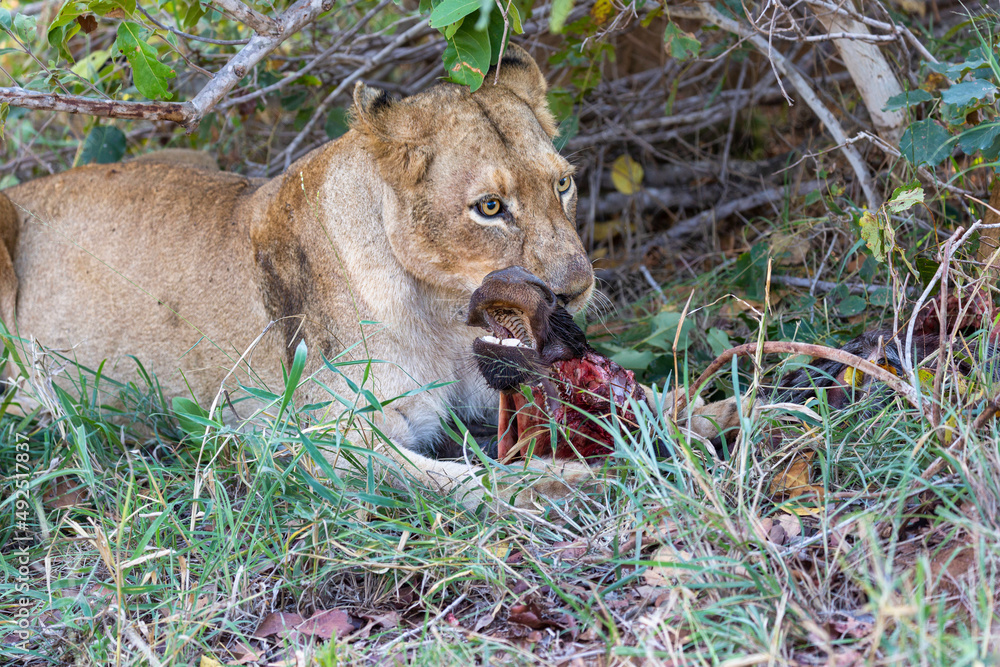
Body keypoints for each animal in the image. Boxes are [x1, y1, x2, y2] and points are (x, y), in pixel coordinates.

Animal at [0, 46, 608, 510]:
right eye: (489, 207)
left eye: (562, 184)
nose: (575, 290)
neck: (442, 315)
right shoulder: (316, 439)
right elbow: (449, 479)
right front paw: (556, 484)